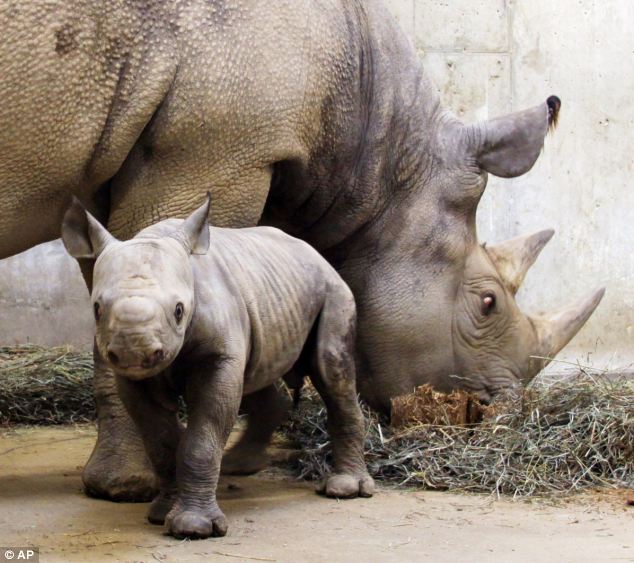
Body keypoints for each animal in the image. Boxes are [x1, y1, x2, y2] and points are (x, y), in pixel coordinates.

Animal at [1, 0, 604, 502]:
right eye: (487, 303)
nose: (494, 416)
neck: (378, 163)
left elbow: (123, 282)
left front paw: (236, 457)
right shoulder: (212, 150)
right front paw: (128, 487)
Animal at [60, 196, 370, 540]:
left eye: (179, 310)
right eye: (97, 309)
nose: (134, 352)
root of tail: (315, 253)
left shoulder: (218, 358)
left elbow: (202, 438)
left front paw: (194, 528)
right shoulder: (135, 379)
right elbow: (160, 439)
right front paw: (161, 513)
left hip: (333, 290)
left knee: (331, 372)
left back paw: (345, 489)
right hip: (273, 291)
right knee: (258, 371)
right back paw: (240, 465)